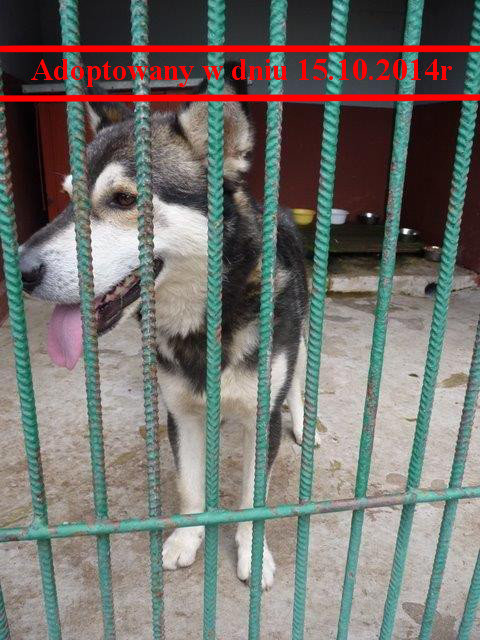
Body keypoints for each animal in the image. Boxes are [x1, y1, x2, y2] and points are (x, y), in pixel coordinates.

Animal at [19, 65, 317, 589]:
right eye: (67, 199)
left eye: (123, 199)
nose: (20, 269)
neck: (203, 320)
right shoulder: (178, 412)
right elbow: (189, 487)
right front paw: (186, 539)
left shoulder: (262, 414)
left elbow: (251, 500)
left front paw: (251, 552)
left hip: (296, 338)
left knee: (297, 382)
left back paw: (302, 424)